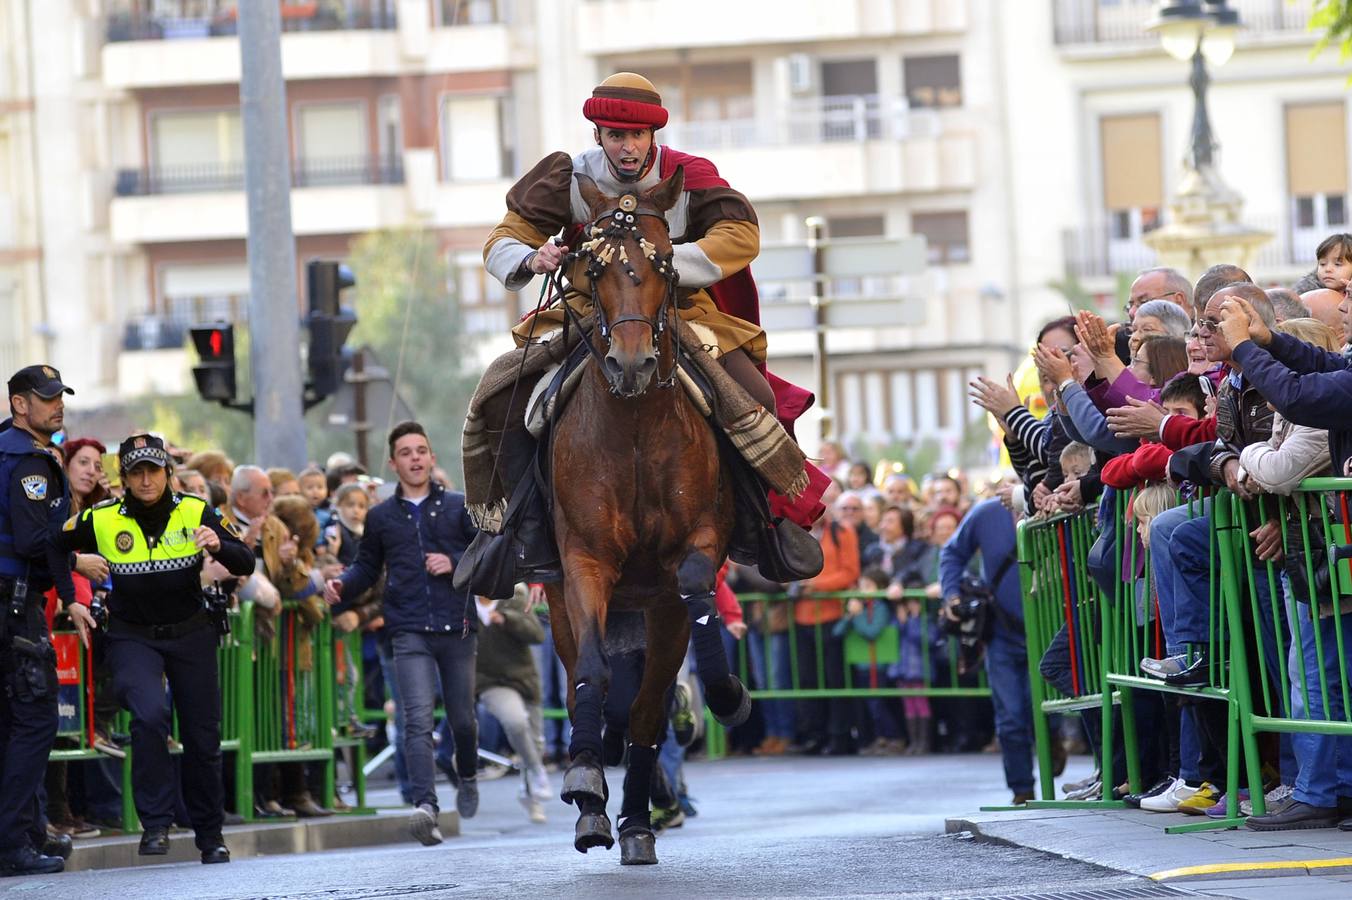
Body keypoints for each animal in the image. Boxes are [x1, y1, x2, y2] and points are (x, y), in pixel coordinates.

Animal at [546, 166, 751, 864]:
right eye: (593, 267)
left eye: (664, 263)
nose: (631, 364)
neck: (633, 427)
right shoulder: (583, 561)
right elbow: (591, 671)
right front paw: (584, 779)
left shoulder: (697, 547)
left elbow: (694, 585)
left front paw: (725, 693)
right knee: (600, 693)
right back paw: (596, 804)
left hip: (660, 618)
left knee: (645, 712)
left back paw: (637, 820)